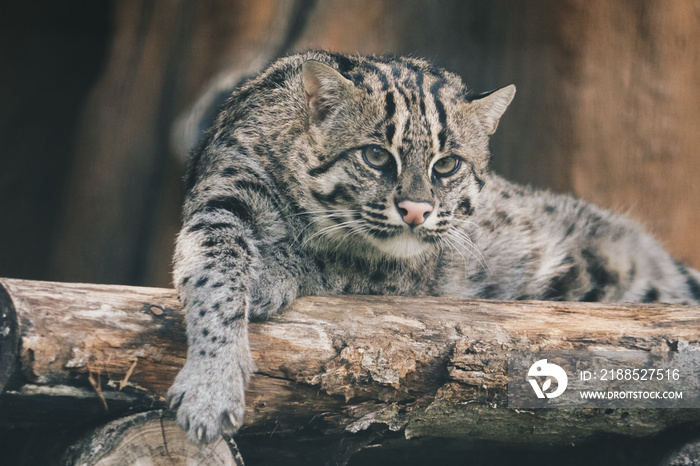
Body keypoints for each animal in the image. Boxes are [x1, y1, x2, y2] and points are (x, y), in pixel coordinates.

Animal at [168, 51, 700, 444]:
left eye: (446, 165)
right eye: (376, 155)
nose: (416, 211)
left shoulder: (421, 265)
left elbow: (338, 258)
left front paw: (271, 274)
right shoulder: (222, 197)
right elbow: (214, 273)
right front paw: (211, 388)